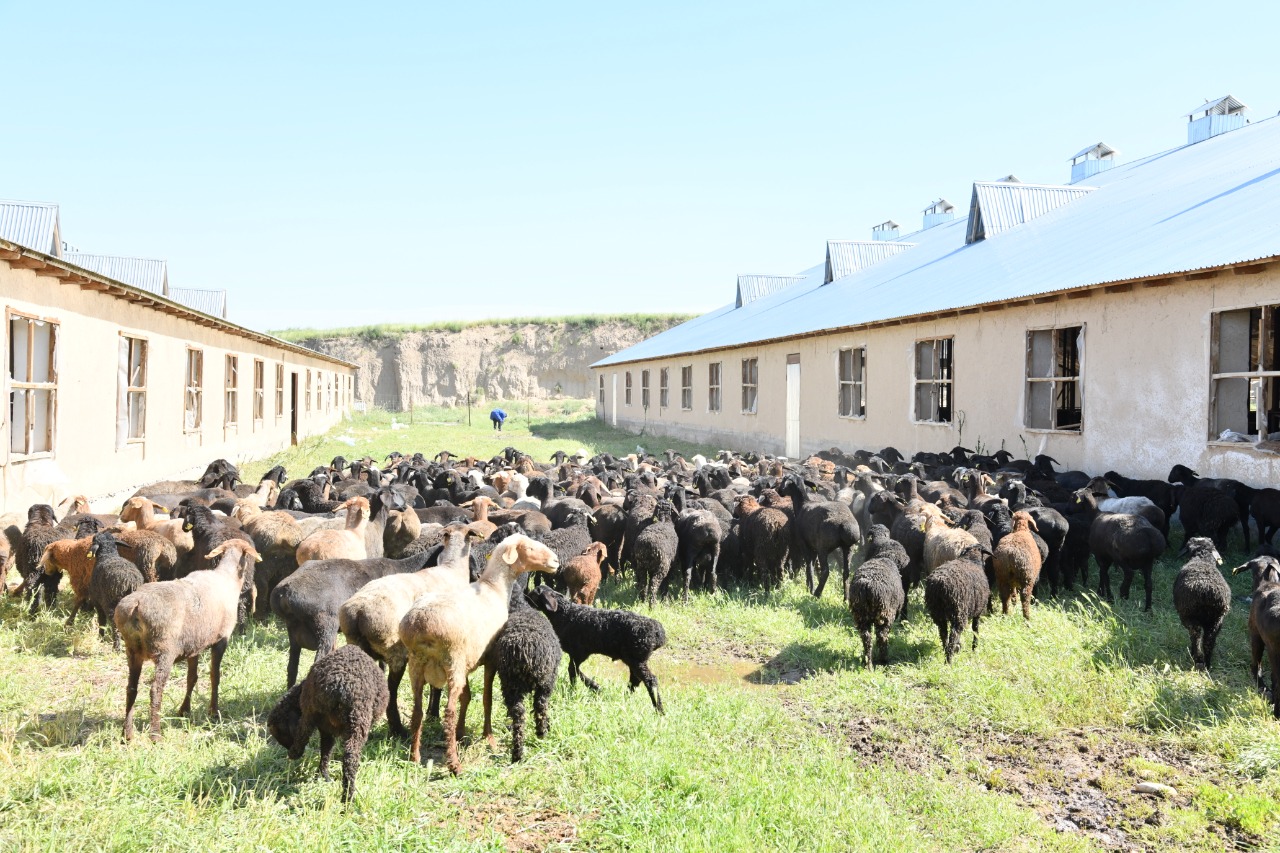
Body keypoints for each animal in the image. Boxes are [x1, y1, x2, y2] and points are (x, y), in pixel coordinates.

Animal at [267, 640, 386, 799]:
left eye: (281, 734)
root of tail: (338, 686)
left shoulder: (326, 729)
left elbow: (325, 750)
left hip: (313, 712)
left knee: (310, 742)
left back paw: (323, 776)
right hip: (357, 722)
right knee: (350, 759)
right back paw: (347, 798)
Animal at [527, 584, 670, 712]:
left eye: (533, 594)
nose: (525, 599)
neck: (564, 614)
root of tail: (658, 633)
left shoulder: (578, 652)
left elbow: (573, 671)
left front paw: (591, 687)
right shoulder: (577, 654)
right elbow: (574, 671)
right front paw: (590, 688)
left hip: (637, 658)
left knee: (650, 680)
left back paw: (659, 709)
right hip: (633, 658)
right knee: (635, 680)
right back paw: (624, 698)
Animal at [1172, 537, 1233, 671]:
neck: (1202, 559)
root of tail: (1206, 591)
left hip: (1189, 616)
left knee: (1196, 637)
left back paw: (1197, 658)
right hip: (1216, 620)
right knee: (1209, 641)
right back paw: (1207, 664)